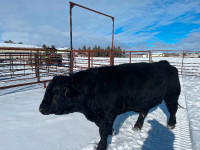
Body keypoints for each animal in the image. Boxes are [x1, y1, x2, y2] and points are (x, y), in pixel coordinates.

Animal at [39, 60, 181, 149]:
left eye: (55, 95)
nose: (40, 108)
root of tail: (166, 64)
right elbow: (104, 128)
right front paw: (112, 132)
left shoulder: (107, 114)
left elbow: (102, 131)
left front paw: (101, 146)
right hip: (145, 100)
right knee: (143, 112)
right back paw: (137, 126)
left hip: (172, 96)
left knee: (173, 110)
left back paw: (171, 124)